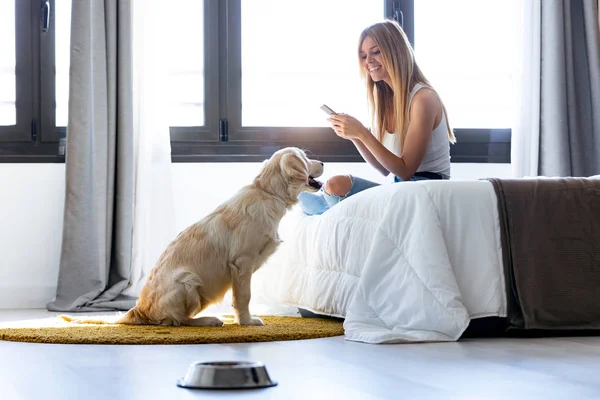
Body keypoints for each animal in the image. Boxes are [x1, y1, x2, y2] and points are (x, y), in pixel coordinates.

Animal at [118, 145, 324, 326]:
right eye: (306, 158)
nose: (323, 162)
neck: (267, 192)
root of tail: (139, 309)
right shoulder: (242, 262)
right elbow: (244, 297)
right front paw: (246, 322)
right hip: (188, 280)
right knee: (178, 321)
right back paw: (209, 320)